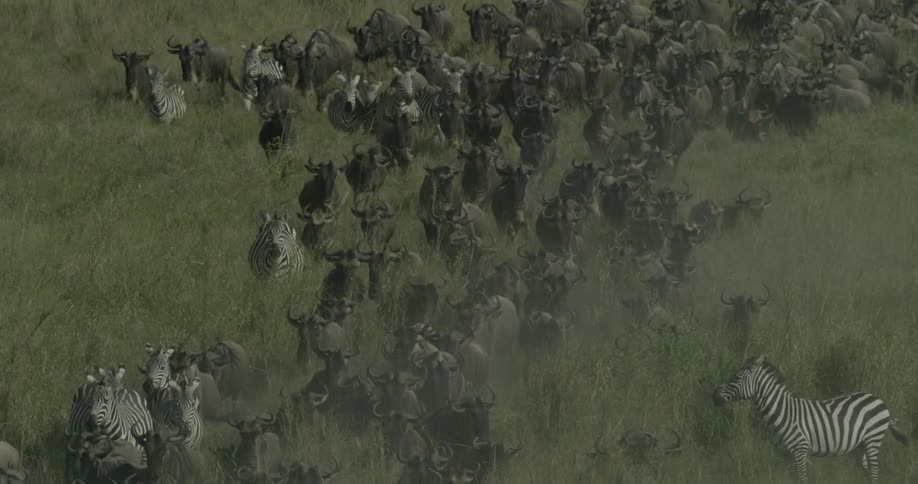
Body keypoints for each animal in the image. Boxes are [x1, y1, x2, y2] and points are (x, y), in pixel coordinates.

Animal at [713, 355, 909, 484]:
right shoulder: (784, 455)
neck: (782, 411)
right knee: (868, 473)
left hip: (872, 440)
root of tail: (880, 400)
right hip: (859, 446)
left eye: (736, 377)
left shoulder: (799, 450)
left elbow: (802, 479)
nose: (713, 395)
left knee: (874, 473)